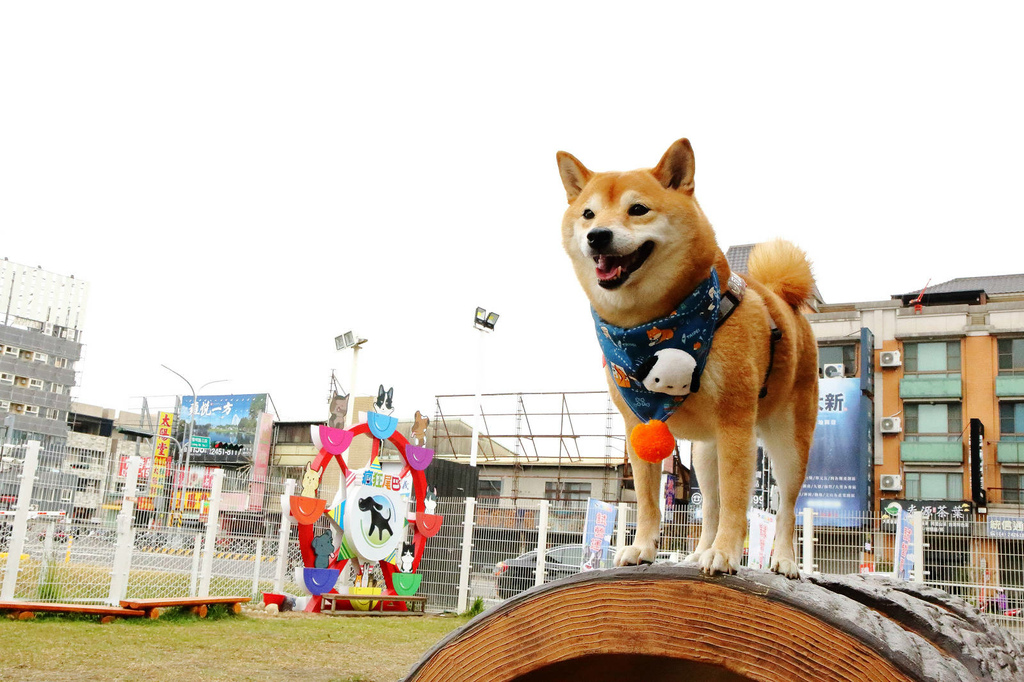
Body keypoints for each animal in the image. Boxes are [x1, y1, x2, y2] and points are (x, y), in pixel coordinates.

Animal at [557, 138, 819, 573]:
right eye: (588, 214)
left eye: (638, 209)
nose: (597, 235)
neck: (652, 322)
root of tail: (782, 297)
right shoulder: (637, 423)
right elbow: (649, 502)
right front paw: (642, 548)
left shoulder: (736, 424)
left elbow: (737, 503)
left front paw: (727, 553)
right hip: (705, 453)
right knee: (709, 505)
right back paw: (698, 550)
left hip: (787, 444)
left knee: (786, 509)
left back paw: (783, 561)